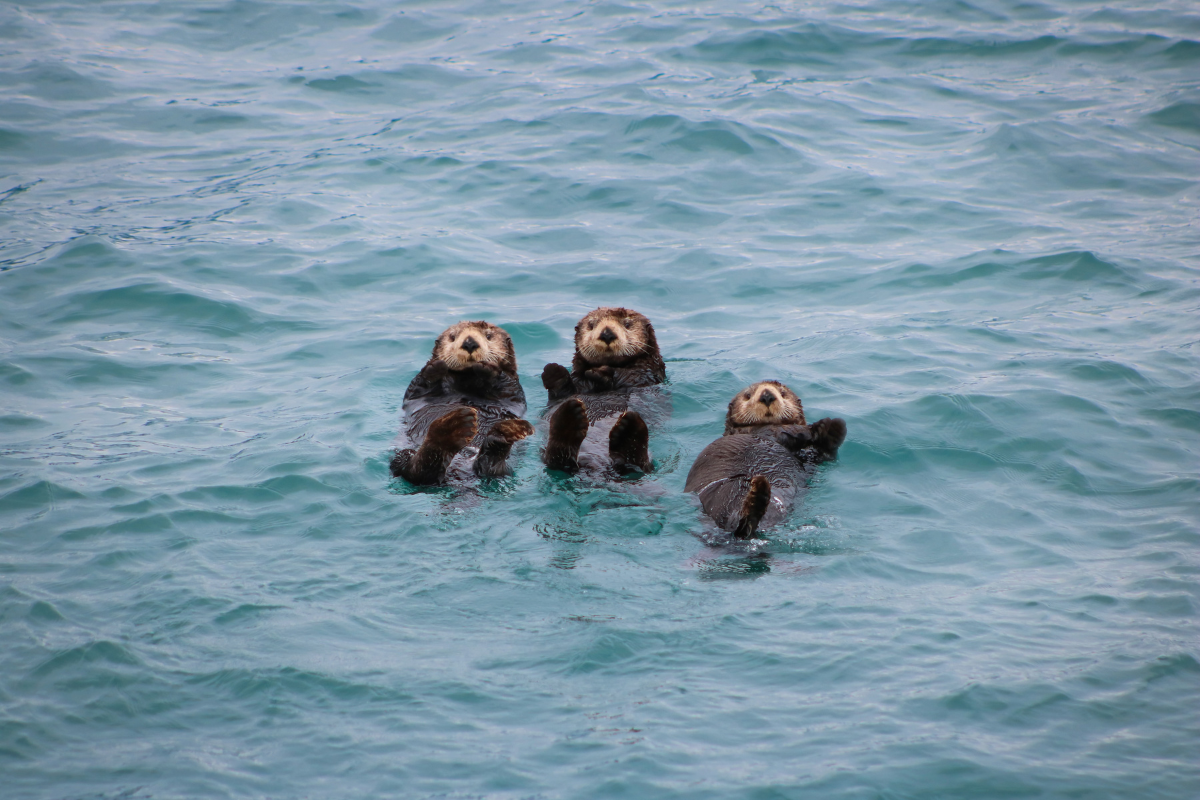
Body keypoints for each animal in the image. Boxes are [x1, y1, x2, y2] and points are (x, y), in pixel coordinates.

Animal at [390, 321, 534, 485]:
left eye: (488, 336)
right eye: (453, 337)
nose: (469, 343)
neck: (467, 380)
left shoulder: (513, 389)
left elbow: (507, 385)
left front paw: (487, 368)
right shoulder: (416, 391)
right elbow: (419, 386)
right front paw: (435, 366)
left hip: (506, 468)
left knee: (490, 469)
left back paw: (501, 435)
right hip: (402, 455)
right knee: (415, 471)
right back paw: (452, 428)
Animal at [540, 307, 667, 474]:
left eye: (627, 324)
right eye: (591, 325)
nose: (607, 334)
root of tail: (595, 464)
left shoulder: (645, 375)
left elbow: (629, 375)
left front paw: (600, 373)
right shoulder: (575, 386)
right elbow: (563, 391)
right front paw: (554, 372)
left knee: (639, 466)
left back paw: (629, 430)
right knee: (556, 459)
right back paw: (569, 418)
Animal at [684, 381, 846, 539]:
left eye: (783, 393)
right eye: (748, 395)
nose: (767, 395)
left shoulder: (809, 459)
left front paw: (832, 430)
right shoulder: (764, 431)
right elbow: (787, 431)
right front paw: (822, 427)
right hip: (724, 494)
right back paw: (756, 497)